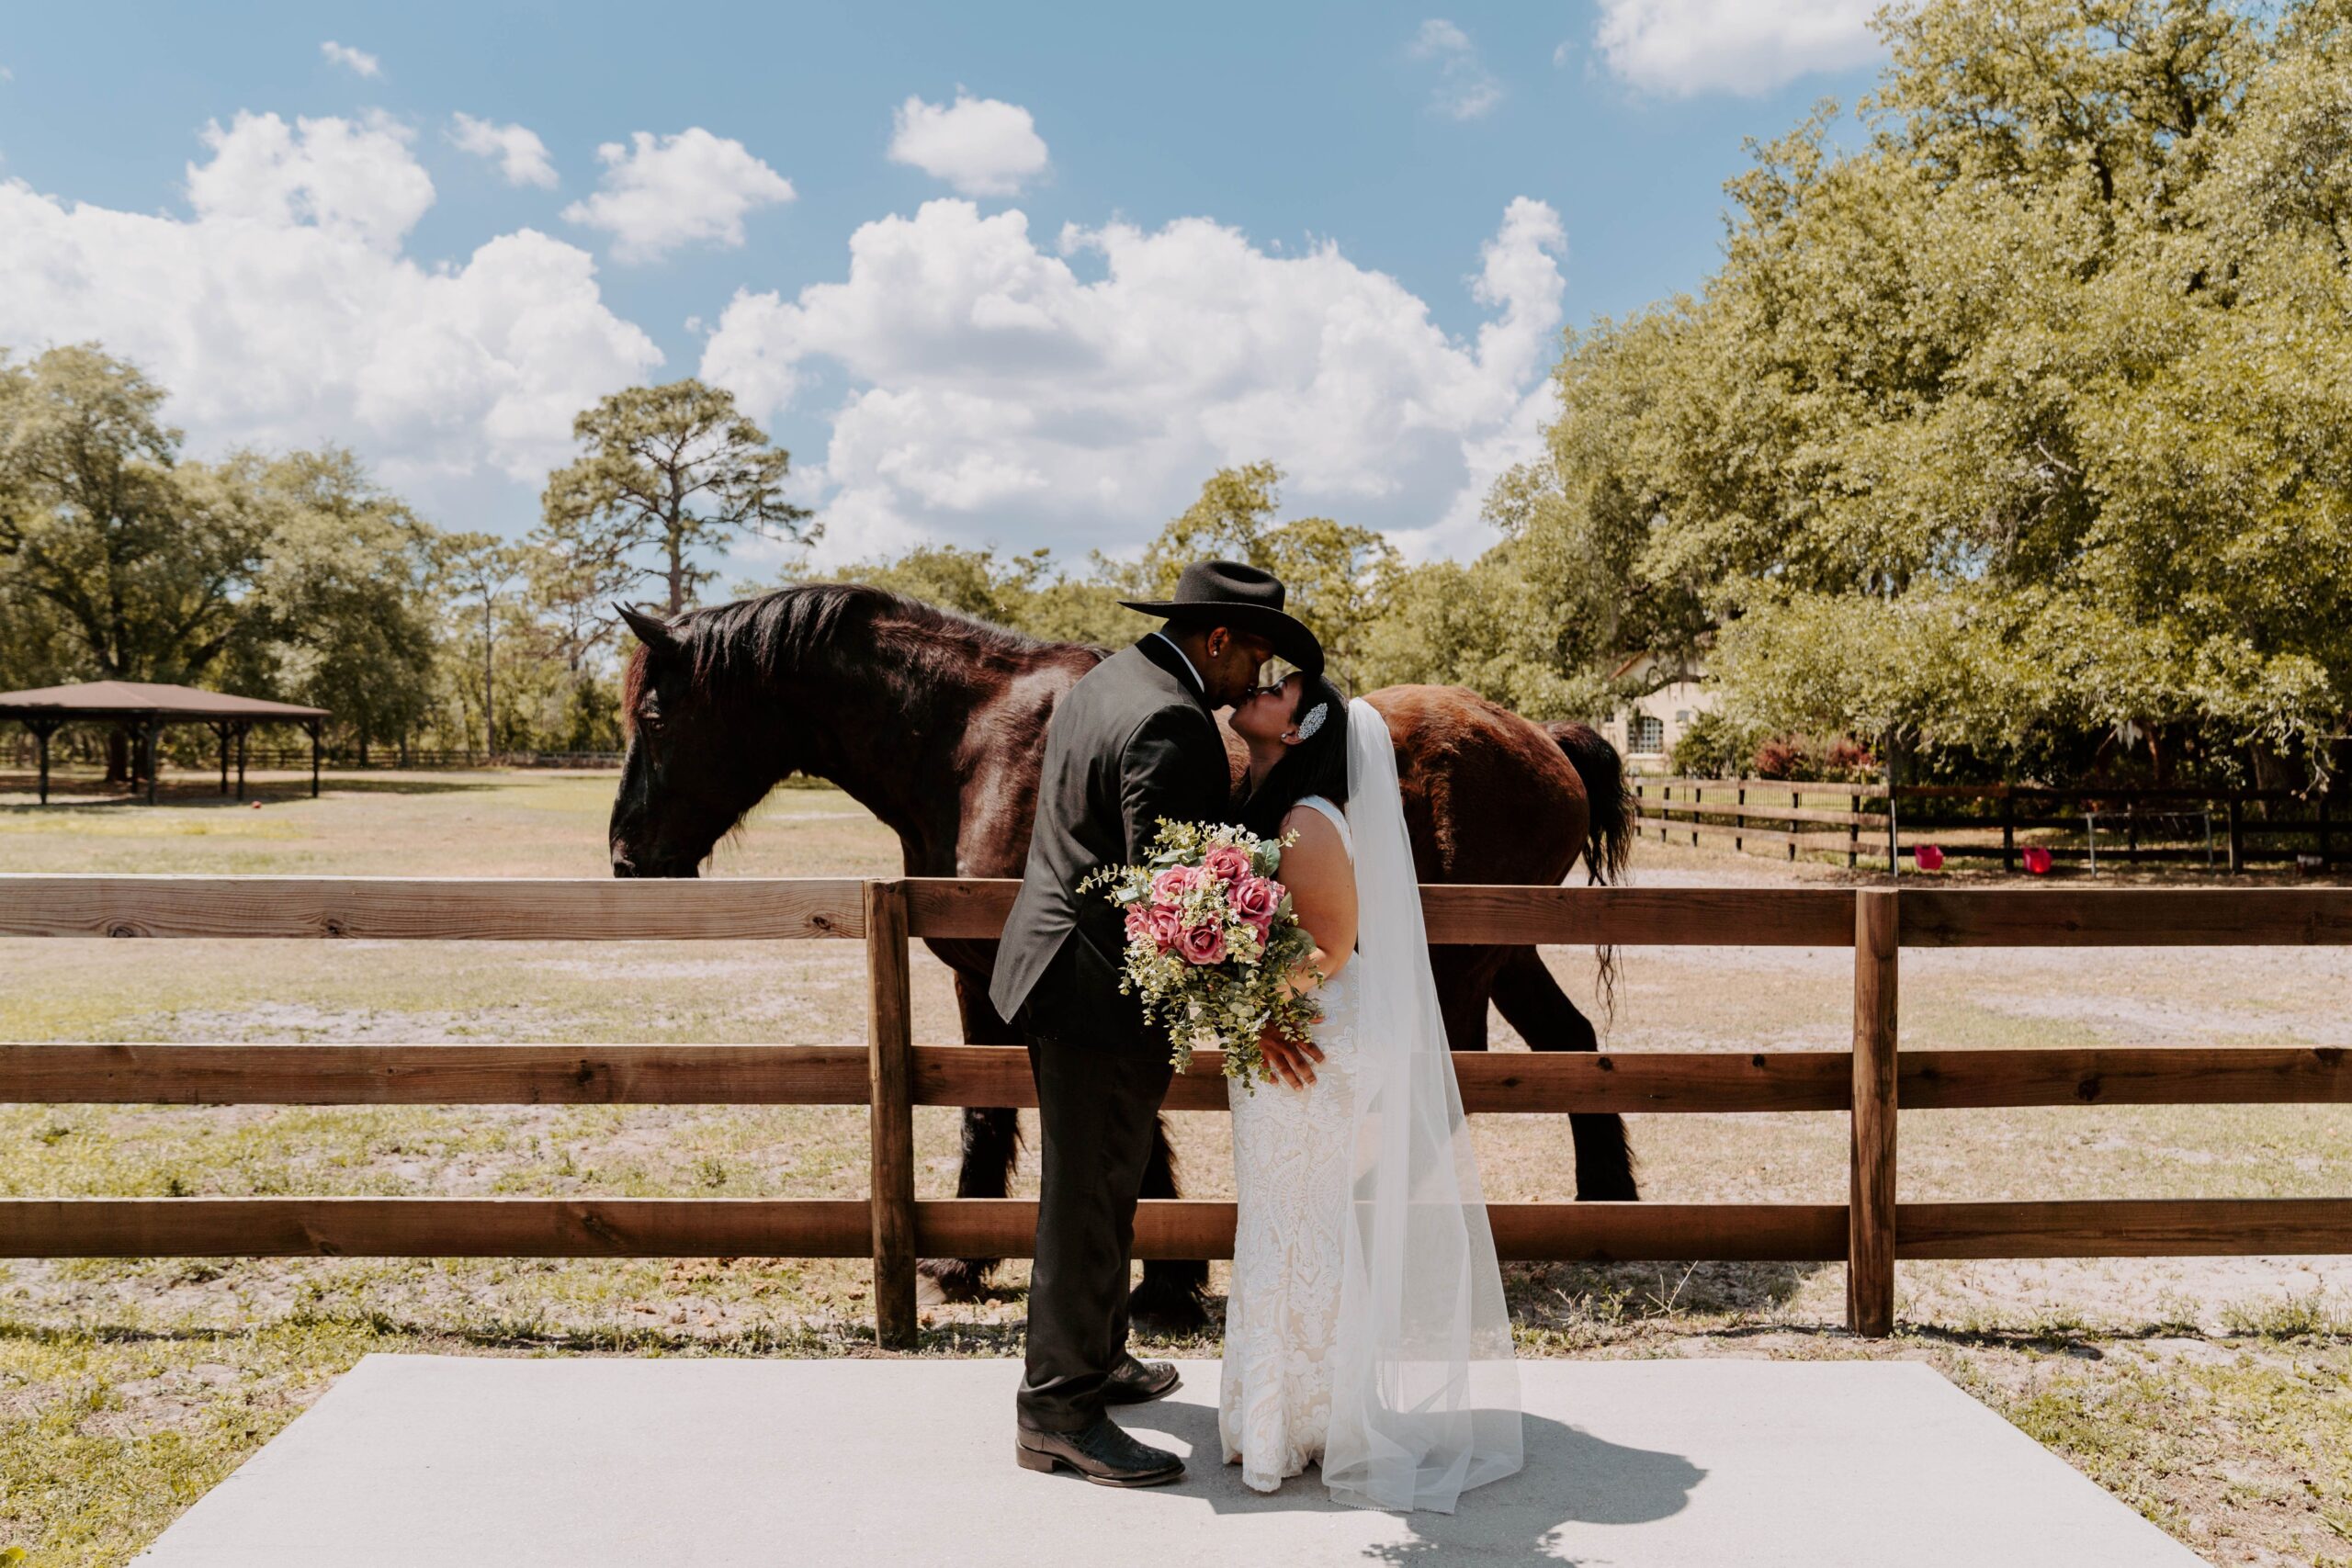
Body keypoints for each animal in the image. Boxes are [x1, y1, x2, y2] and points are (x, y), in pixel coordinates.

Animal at [606, 585, 1636, 1325]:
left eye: (653, 716)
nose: (624, 858)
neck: (976, 743)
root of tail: (1539, 735)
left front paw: (1166, 1282)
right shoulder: (980, 976)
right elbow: (984, 1109)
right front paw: (961, 1259)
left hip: (1464, 959)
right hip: (1504, 953)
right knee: (1569, 1047)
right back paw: (1606, 1208)